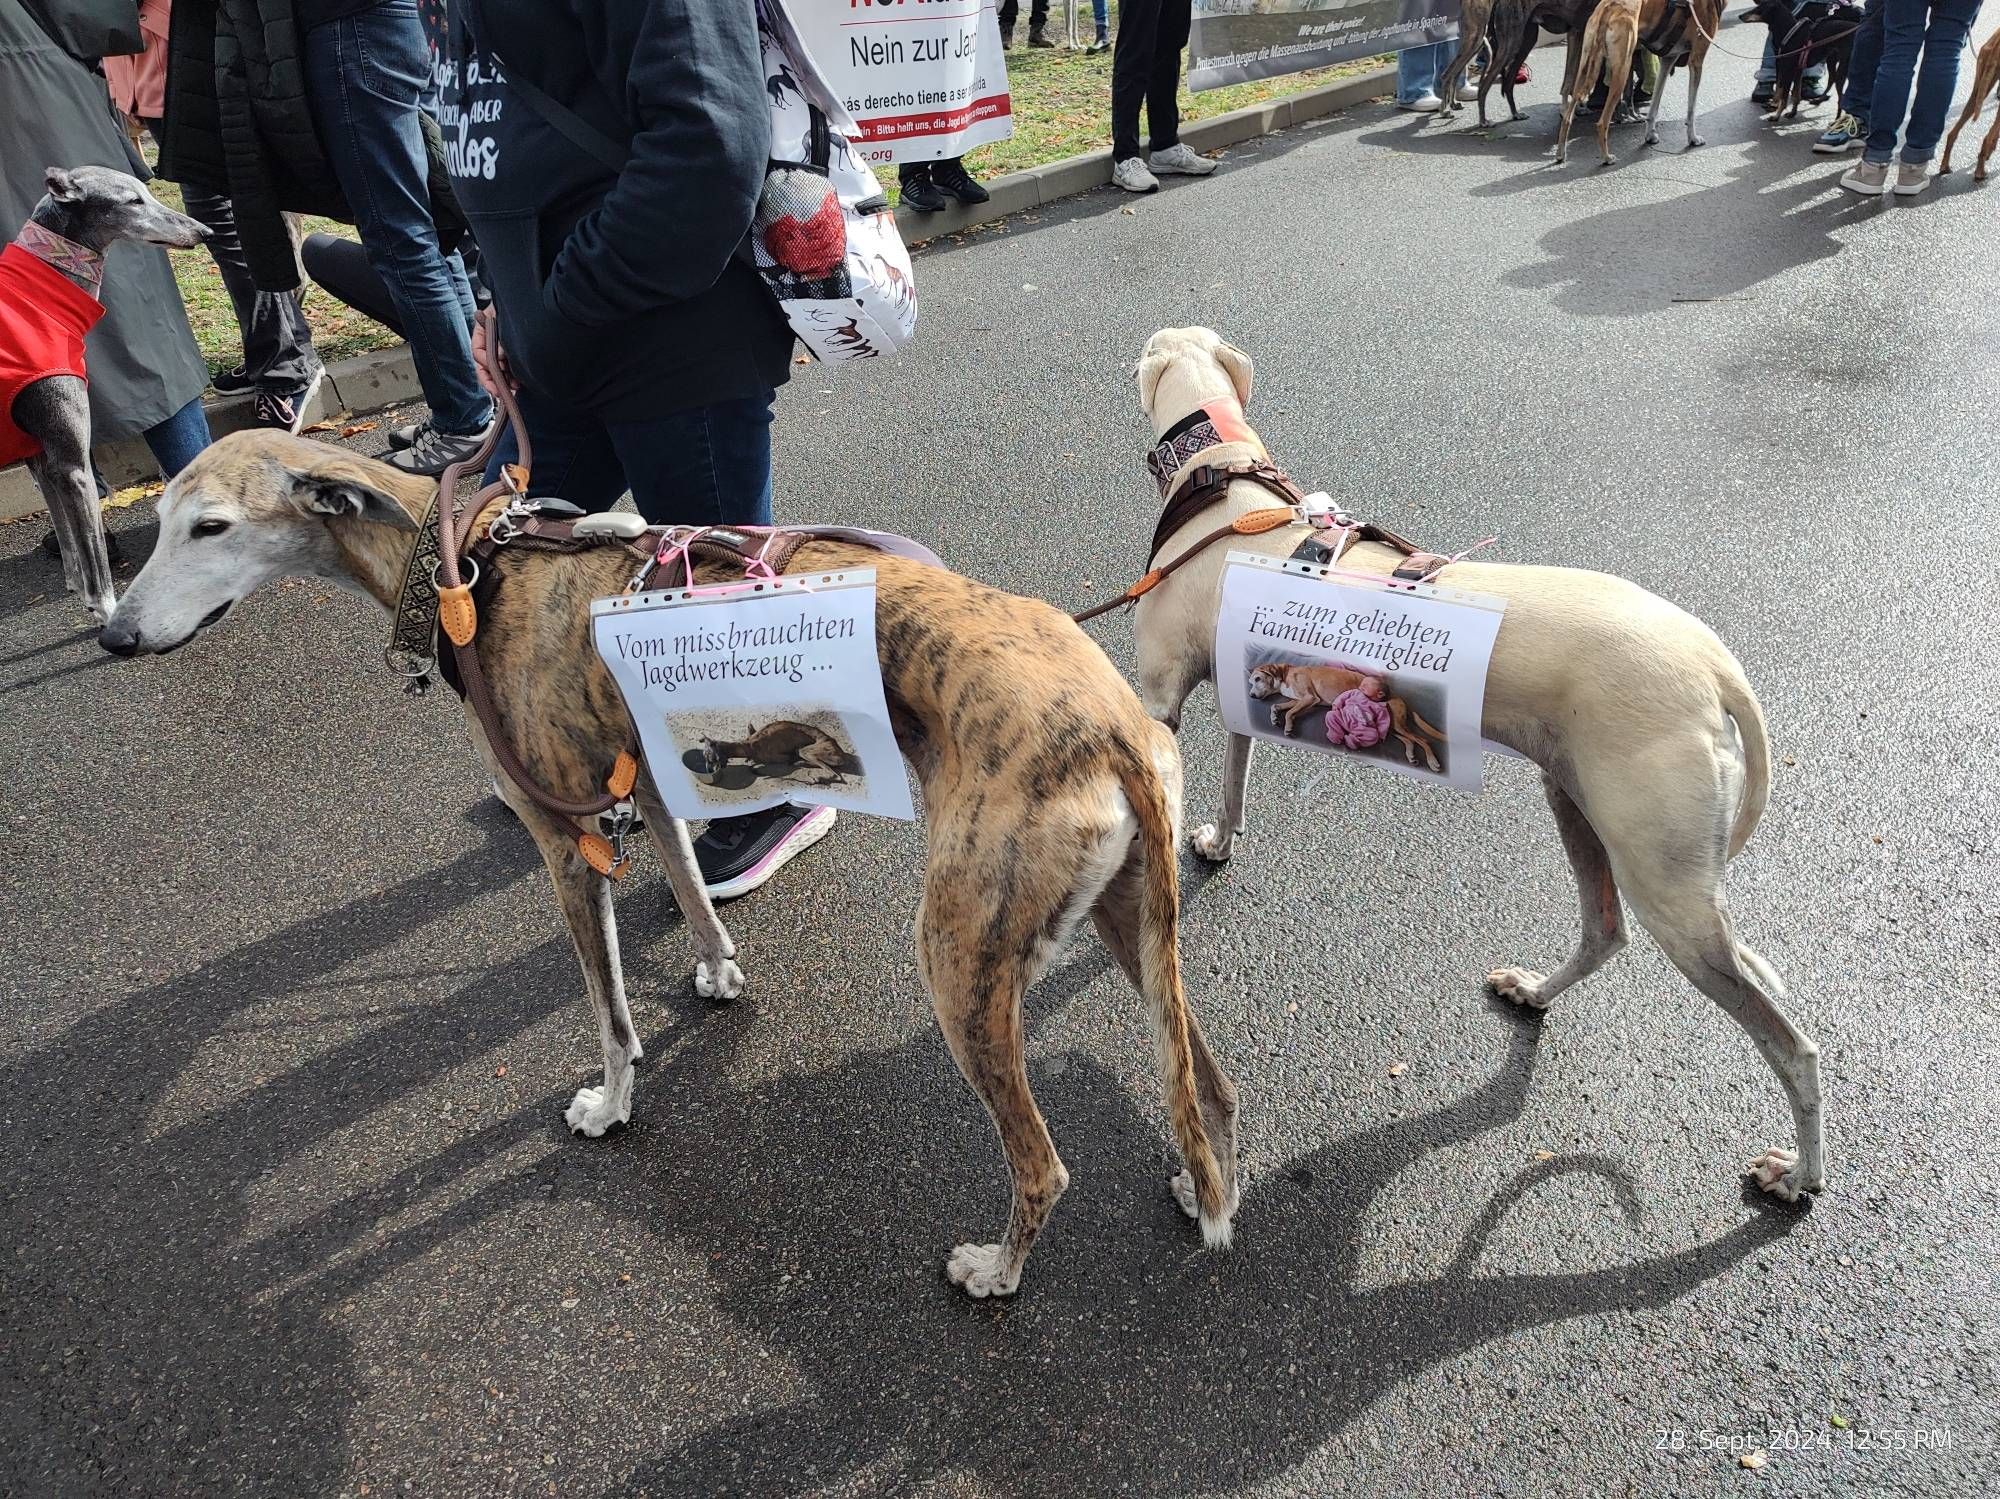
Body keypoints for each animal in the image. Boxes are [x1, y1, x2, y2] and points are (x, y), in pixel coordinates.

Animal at [0, 168, 206, 623]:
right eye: (133, 201)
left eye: (149, 191)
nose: (205, 231)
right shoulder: (73, 467)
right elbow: (95, 564)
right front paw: (106, 613)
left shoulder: (42, 460)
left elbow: (72, 548)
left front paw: (77, 588)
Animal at [1128, 327, 1832, 1207]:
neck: (1222, 488)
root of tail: (1714, 664)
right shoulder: (1239, 689)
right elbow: (1234, 783)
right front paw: (1219, 842)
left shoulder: (1158, 701)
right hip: (1575, 797)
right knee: (1603, 931)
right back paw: (1531, 989)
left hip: (1671, 890)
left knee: (1792, 1046)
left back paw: (1798, 1170)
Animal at [1936, 25, 2000, 179]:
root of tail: (1996, 44)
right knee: (1987, 137)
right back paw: (1980, 171)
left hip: (1977, 92)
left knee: (1952, 133)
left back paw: (1945, 166)